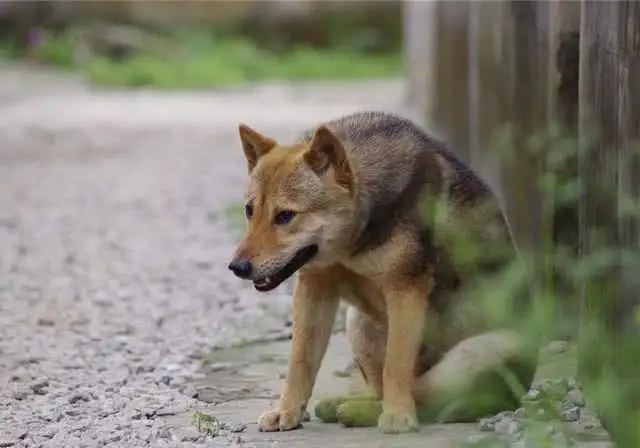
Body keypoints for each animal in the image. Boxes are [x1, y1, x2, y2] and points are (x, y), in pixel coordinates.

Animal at [228, 109, 536, 434]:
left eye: (285, 216)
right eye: (249, 210)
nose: (237, 267)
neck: (352, 241)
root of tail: (515, 396)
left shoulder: (405, 290)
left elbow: (396, 365)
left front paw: (398, 416)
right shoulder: (315, 286)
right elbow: (300, 361)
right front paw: (286, 411)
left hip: (481, 350)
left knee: (426, 398)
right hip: (359, 323)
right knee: (387, 389)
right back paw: (349, 406)